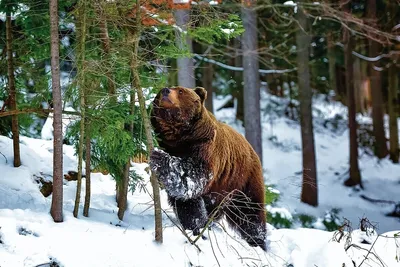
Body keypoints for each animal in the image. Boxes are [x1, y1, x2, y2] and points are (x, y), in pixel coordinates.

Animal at [149, 86, 266, 251]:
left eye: (180, 91)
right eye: (159, 92)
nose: (165, 90)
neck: (180, 137)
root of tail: (251, 147)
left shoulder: (205, 147)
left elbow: (193, 176)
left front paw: (159, 158)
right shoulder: (170, 146)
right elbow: (187, 201)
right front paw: (196, 227)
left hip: (242, 180)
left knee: (249, 212)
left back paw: (258, 241)